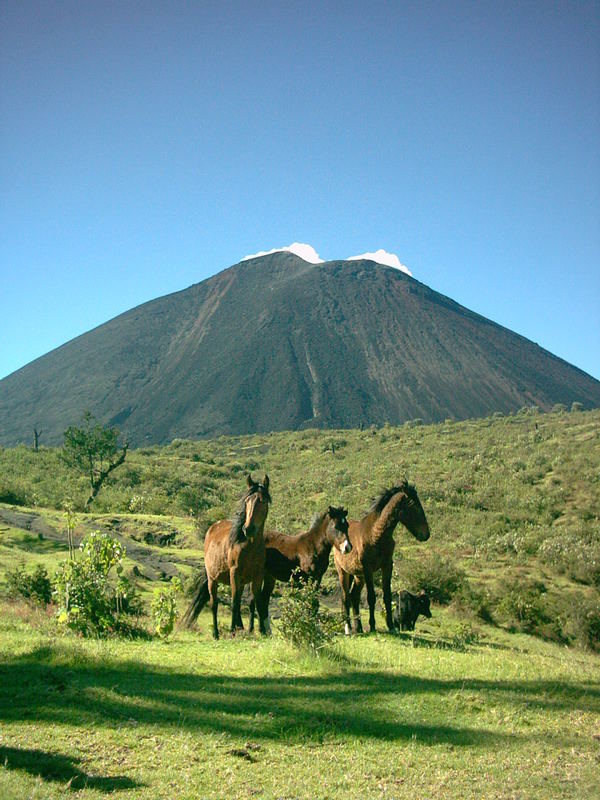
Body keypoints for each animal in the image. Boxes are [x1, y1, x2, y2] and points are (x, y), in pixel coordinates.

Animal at [179, 476, 270, 636]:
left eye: (263, 501)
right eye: (247, 501)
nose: (248, 529)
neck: (249, 546)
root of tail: (212, 528)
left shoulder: (257, 575)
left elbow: (255, 601)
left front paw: (261, 631)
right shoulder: (235, 573)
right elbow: (234, 603)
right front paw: (233, 630)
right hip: (212, 579)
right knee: (214, 604)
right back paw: (216, 633)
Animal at [332, 478, 432, 636]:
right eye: (415, 508)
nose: (426, 534)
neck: (376, 534)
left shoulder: (387, 566)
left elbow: (387, 596)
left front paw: (391, 626)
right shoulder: (368, 569)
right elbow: (371, 597)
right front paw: (373, 626)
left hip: (358, 576)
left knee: (354, 596)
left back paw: (359, 628)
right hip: (343, 572)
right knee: (346, 598)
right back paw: (348, 629)